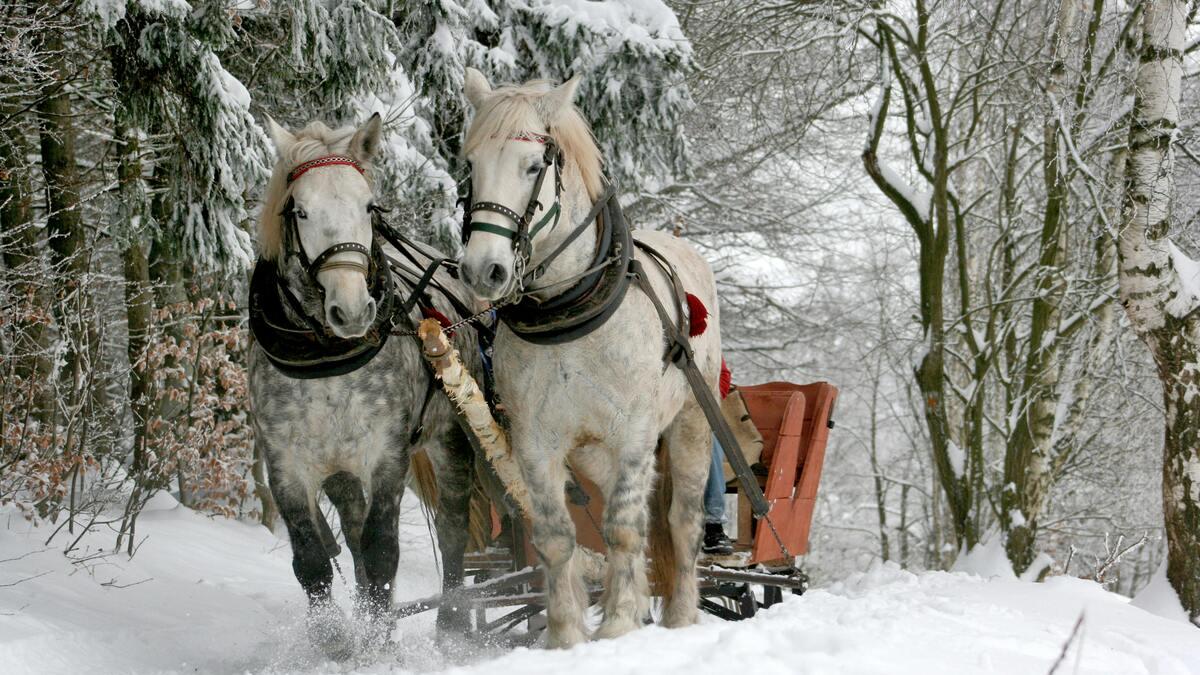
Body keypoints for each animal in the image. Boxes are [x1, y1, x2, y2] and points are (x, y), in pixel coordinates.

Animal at [248, 114, 482, 659]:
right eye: (301, 210)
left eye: (369, 207)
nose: (353, 310)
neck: (325, 358)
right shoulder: (286, 463)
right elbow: (313, 559)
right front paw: (335, 639)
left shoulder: (387, 454)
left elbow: (382, 551)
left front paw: (380, 645)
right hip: (339, 469)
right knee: (351, 535)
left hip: (450, 437)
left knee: (453, 526)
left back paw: (452, 624)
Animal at [455, 69, 722, 647]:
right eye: (471, 165)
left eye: (533, 166)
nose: (483, 270)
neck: (569, 311)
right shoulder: (536, 442)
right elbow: (557, 536)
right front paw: (566, 635)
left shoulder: (635, 434)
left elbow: (623, 528)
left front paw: (618, 624)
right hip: (594, 452)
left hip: (691, 422)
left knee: (680, 520)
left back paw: (681, 615)